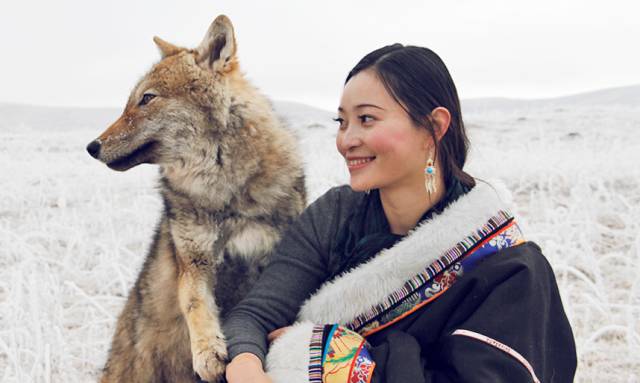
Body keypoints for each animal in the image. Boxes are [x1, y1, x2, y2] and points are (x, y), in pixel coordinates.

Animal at [86, 14, 306, 380]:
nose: (92, 147)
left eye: (147, 98)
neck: (226, 191)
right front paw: (208, 352)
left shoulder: (269, 258)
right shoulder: (194, 261)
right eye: (132, 100)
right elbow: (195, 304)